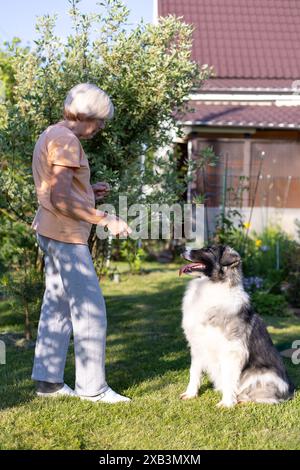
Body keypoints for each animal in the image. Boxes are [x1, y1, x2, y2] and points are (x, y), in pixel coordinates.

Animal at [179, 244, 294, 406]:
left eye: (208, 250)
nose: (183, 249)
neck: (213, 284)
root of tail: (290, 391)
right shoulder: (197, 344)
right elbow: (194, 371)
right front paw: (191, 394)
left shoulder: (231, 349)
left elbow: (228, 376)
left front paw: (227, 403)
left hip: (262, 375)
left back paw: (242, 400)